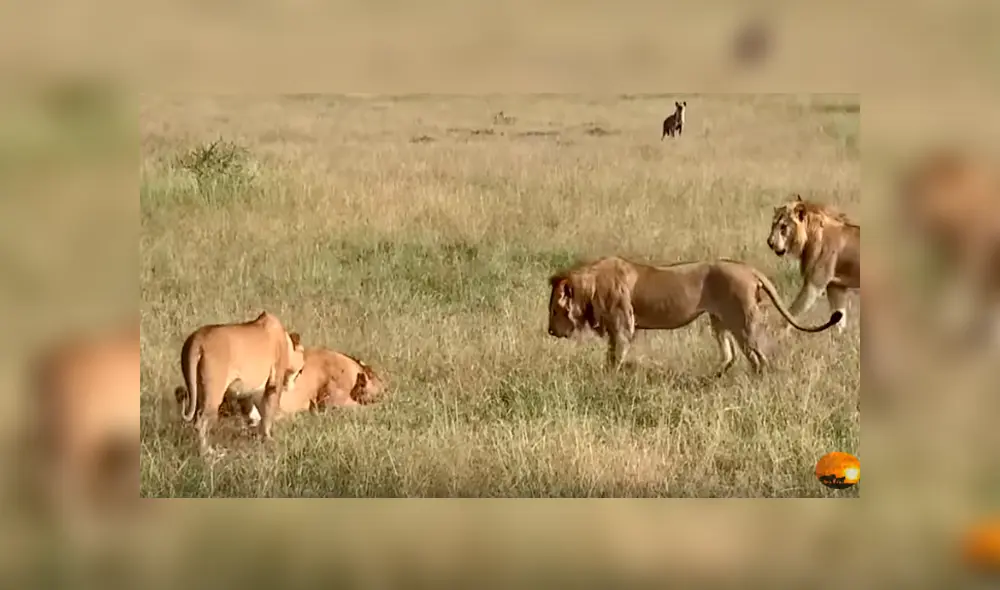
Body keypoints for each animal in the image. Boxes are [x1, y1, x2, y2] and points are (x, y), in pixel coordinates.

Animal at [174, 311, 306, 458]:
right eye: (301, 370)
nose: (292, 386)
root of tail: (197, 338)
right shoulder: (274, 385)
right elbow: (268, 412)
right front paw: (268, 439)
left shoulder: (254, 391)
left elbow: (258, 411)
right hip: (214, 392)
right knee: (200, 422)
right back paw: (208, 453)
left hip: (197, 390)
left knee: (196, 418)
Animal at [546, 256, 843, 373]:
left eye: (554, 310)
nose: (550, 331)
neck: (590, 286)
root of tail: (748, 269)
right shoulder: (613, 329)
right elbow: (610, 356)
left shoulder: (622, 328)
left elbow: (615, 359)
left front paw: (609, 378)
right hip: (719, 321)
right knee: (731, 355)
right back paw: (713, 377)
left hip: (742, 322)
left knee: (758, 357)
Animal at [766, 194, 861, 333]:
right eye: (773, 225)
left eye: (783, 226)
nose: (769, 243)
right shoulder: (836, 287)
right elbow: (839, 321)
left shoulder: (814, 284)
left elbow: (791, 312)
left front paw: (777, 333)